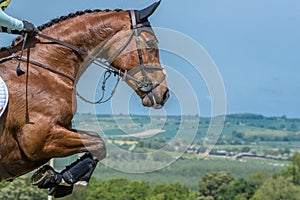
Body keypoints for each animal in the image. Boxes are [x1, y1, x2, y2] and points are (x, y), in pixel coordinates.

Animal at [0, 1, 169, 198]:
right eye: (150, 43)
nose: (165, 93)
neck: (41, 70)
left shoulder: (60, 130)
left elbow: (96, 143)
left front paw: (57, 179)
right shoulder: (37, 140)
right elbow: (98, 143)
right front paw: (60, 179)